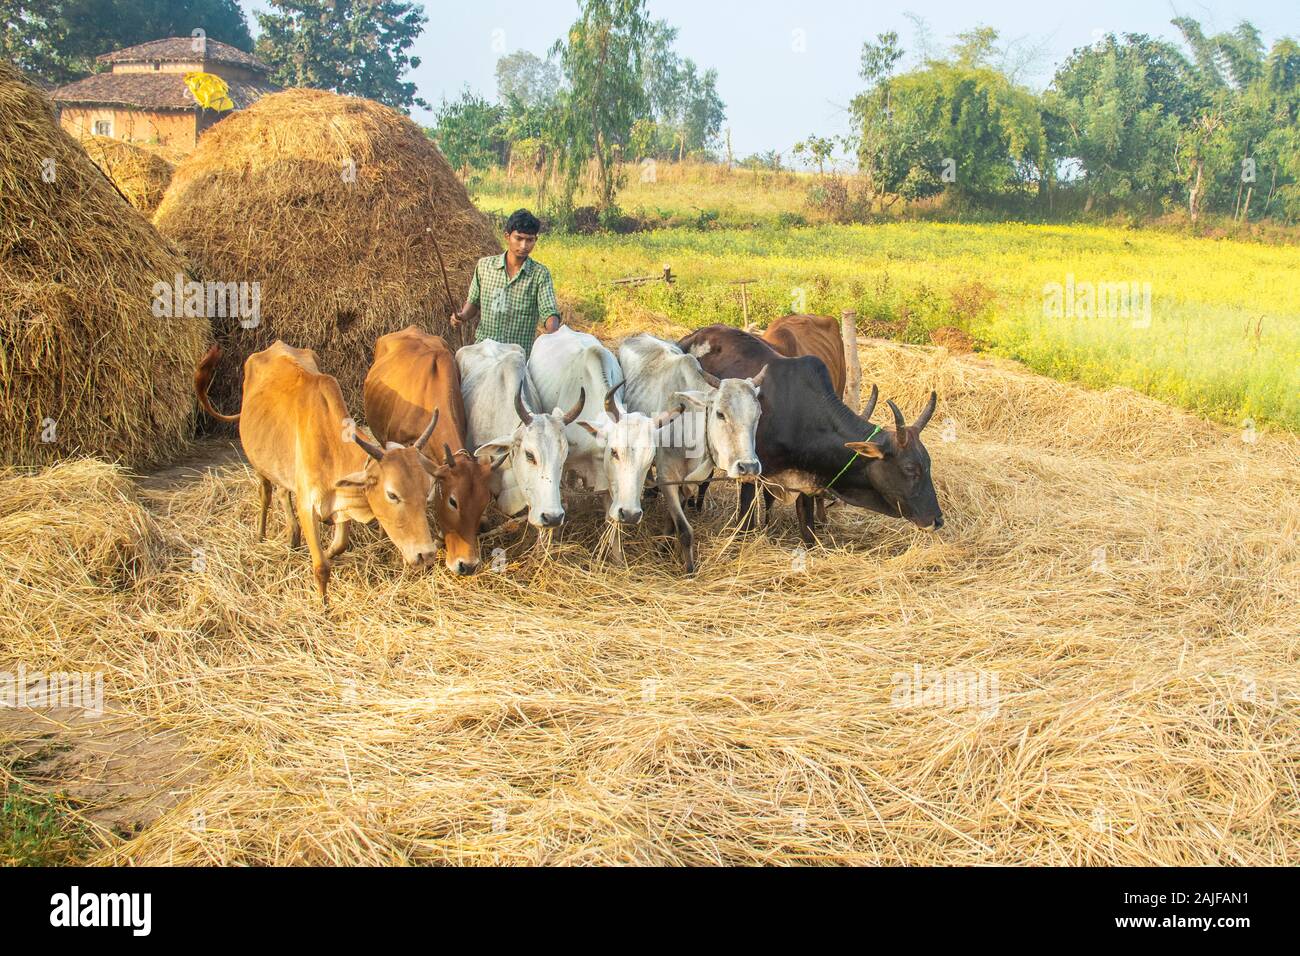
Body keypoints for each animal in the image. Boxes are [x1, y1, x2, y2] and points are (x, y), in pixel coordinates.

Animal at [616, 335, 759, 572]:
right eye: (720, 413)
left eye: (758, 415)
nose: (748, 467)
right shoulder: (667, 476)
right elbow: (684, 529)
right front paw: (689, 569)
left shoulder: (686, 482)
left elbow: (673, 519)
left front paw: (664, 546)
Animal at [676, 325, 941, 541]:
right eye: (910, 469)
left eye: (928, 464)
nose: (938, 520)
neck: (798, 412)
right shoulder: (749, 472)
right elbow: (745, 523)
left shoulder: (806, 480)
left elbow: (808, 529)